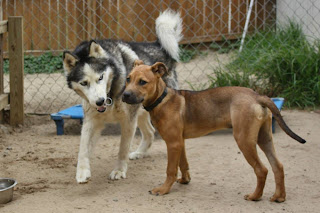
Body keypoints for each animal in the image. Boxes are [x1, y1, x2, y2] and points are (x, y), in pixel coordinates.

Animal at [62, 9, 182, 183]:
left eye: (100, 77)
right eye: (84, 83)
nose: (100, 102)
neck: (110, 94)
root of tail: (159, 46)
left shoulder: (128, 121)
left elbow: (122, 149)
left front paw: (119, 171)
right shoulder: (91, 121)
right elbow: (83, 148)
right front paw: (82, 172)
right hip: (141, 113)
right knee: (150, 132)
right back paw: (139, 153)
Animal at [122, 59, 304, 201]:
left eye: (142, 82)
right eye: (128, 79)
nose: (124, 95)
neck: (161, 99)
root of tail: (258, 96)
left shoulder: (173, 143)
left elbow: (170, 169)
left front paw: (164, 189)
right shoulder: (180, 142)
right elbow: (183, 163)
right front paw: (185, 180)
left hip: (244, 139)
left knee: (262, 169)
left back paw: (255, 196)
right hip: (264, 138)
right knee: (278, 166)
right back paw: (279, 197)